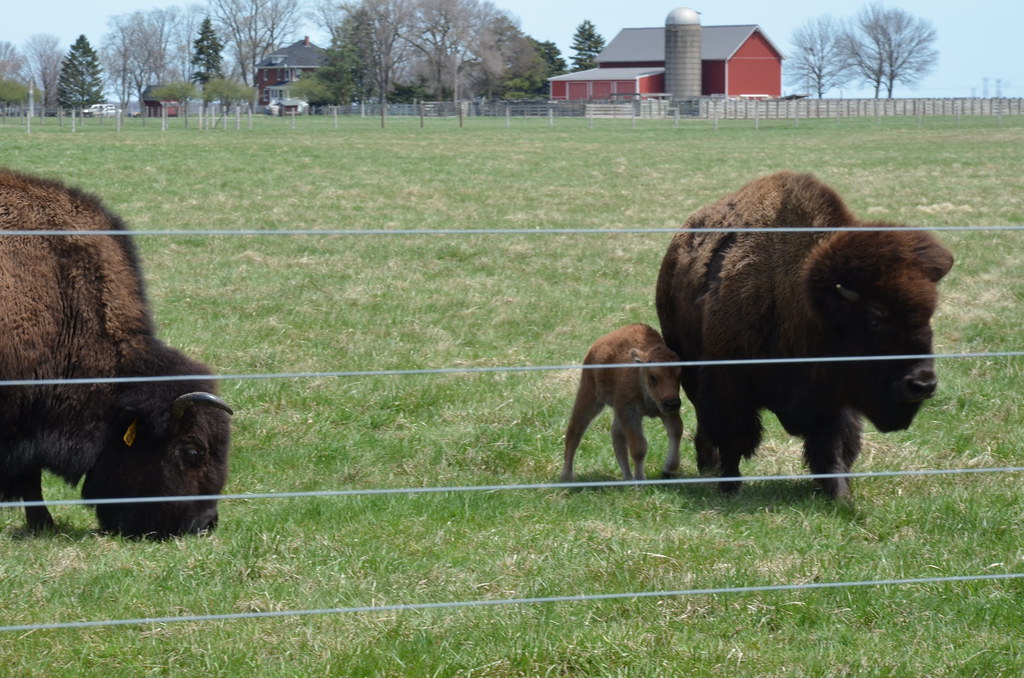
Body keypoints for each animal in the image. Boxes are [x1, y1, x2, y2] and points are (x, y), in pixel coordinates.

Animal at [561, 323, 683, 483]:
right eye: (653, 376)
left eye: (680, 374)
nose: (672, 403)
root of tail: (596, 346)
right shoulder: (629, 411)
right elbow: (638, 447)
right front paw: (640, 481)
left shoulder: (666, 411)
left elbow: (676, 431)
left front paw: (669, 469)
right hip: (589, 396)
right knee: (575, 430)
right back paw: (566, 476)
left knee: (616, 436)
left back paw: (627, 477)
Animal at [655, 171, 953, 500]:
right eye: (875, 317)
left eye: (930, 314)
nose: (922, 384)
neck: (807, 302)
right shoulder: (729, 386)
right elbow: (735, 438)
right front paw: (730, 486)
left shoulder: (831, 397)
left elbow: (832, 445)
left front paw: (839, 494)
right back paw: (710, 465)